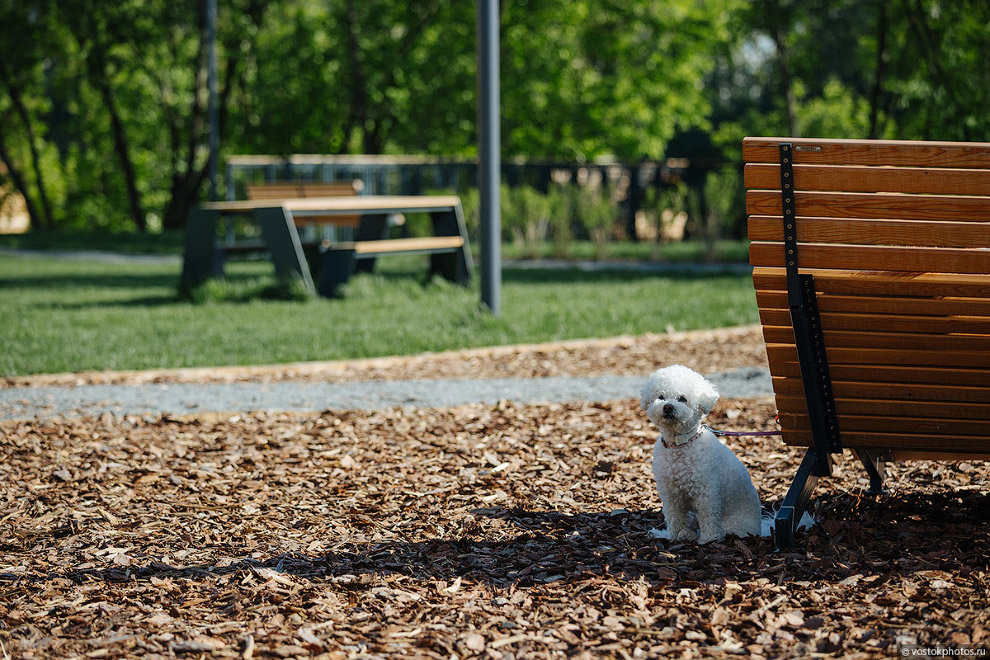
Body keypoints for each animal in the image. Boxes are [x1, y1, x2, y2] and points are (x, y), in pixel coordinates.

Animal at [640, 364, 764, 544]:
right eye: (661, 397)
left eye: (682, 398)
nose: (667, 406)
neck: (679, 444)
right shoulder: (671, 494)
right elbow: (674, 517)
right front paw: (675, 536)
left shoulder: (706, 492)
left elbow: (708, 516)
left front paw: (709, 539)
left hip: (734, 525)